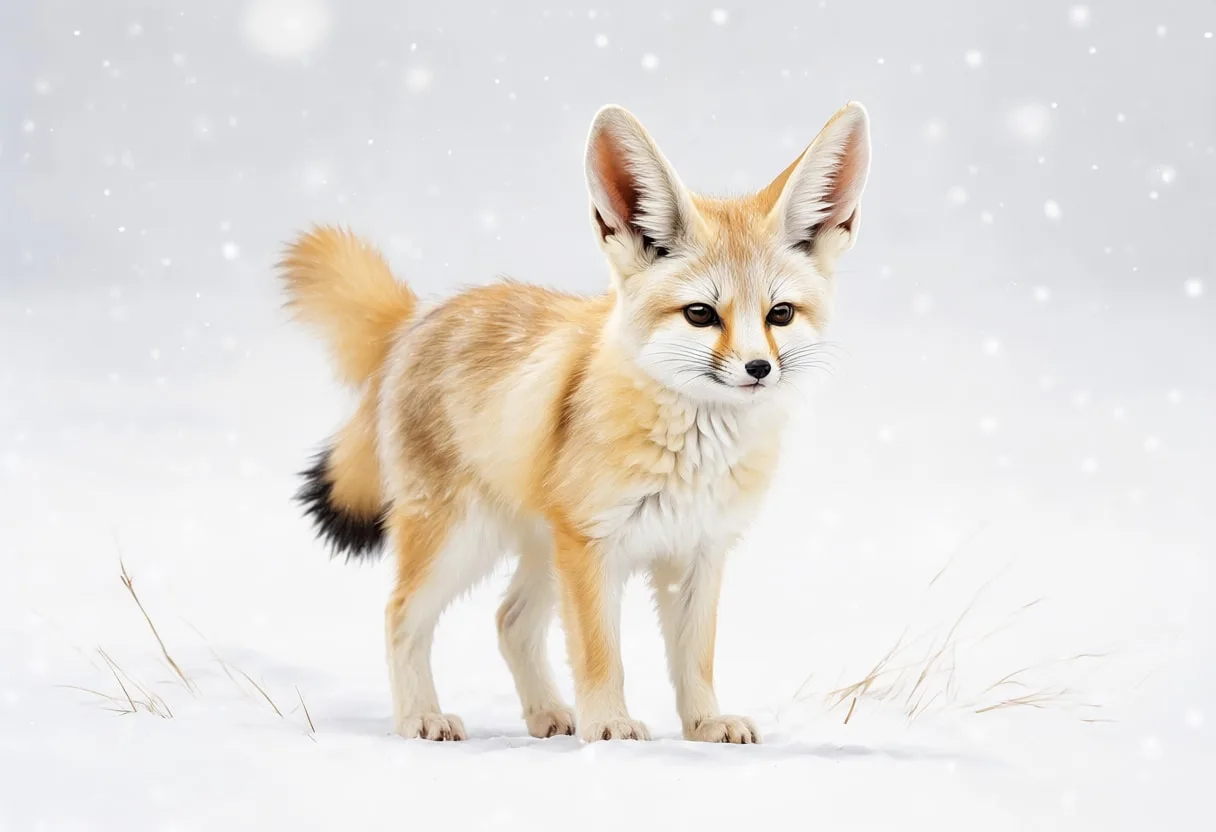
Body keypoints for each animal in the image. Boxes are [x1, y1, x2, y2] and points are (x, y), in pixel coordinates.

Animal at [278, 101, 871, 744]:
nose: (759, 369)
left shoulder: (698, 551)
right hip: (463, 540)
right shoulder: (592, 545)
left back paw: (546, 714)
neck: (695, 457)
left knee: (508, 620)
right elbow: (599, 654)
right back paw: (420, 717)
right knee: (400, 615)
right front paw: (609, 723)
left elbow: (695, 659)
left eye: (779, 315)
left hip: (540, 549)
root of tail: (420, 314)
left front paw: (705, 723)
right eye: (700, 315)